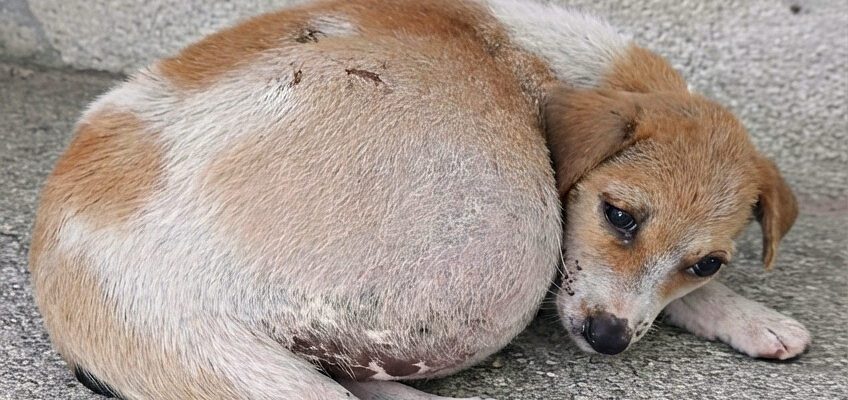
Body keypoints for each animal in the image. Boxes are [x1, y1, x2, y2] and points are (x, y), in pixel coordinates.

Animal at [29, 0, 810, 399]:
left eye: (707, 263)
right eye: (619, 216)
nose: (610, 342)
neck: (579, 71)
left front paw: (754, 318)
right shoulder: (569, 254)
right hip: (516, 222)